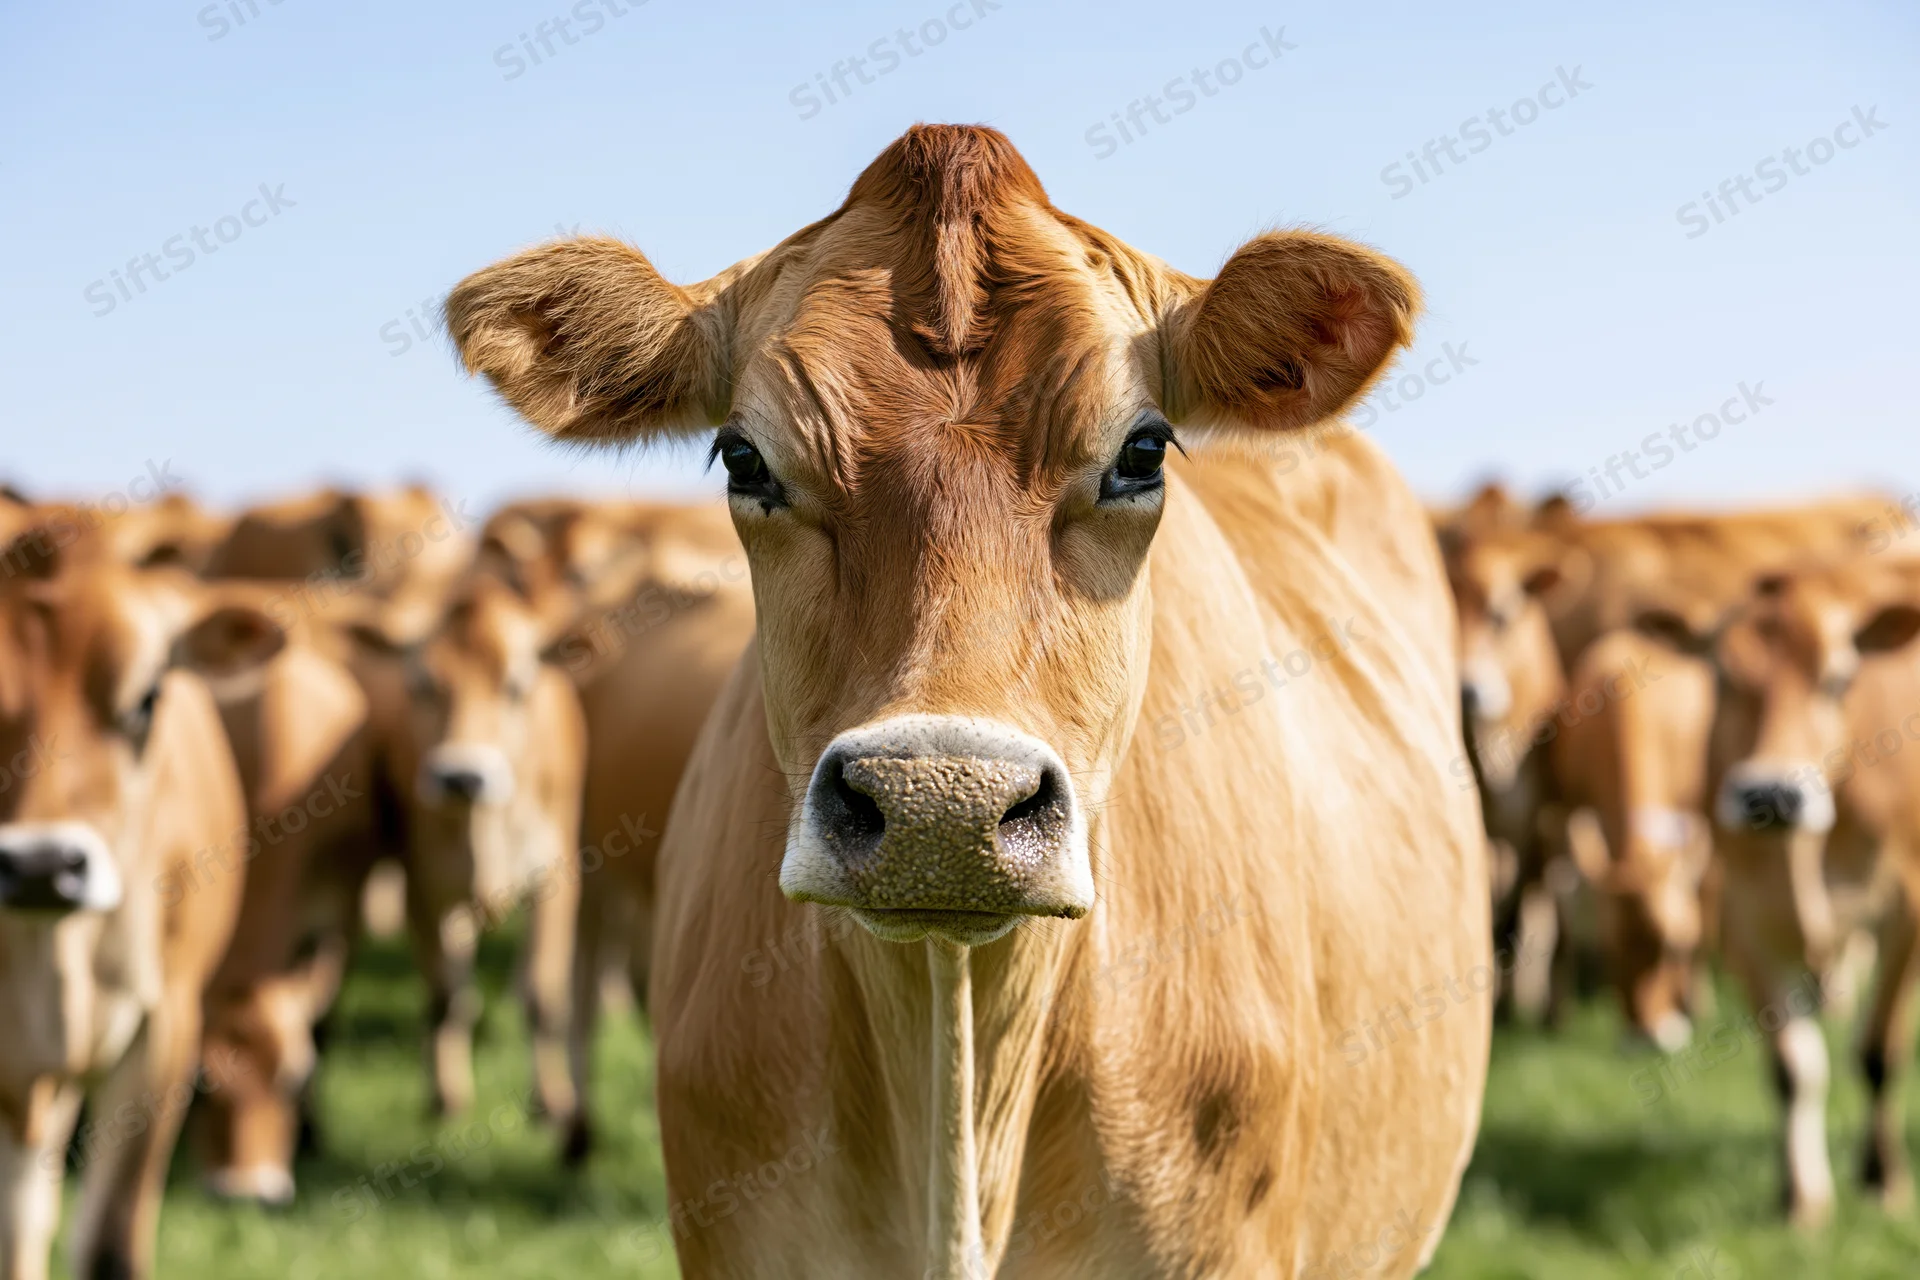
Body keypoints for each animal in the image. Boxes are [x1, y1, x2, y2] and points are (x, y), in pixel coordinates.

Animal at [1641, 561, 1920, 1226]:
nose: (1771, 793)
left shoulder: (1907, 910)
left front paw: (1882, 1181)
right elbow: (1794, 1069)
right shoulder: (1744, 920)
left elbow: (1879, 1053)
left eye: (1838, 678)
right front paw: (1800, 1199)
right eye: (1720, 674)